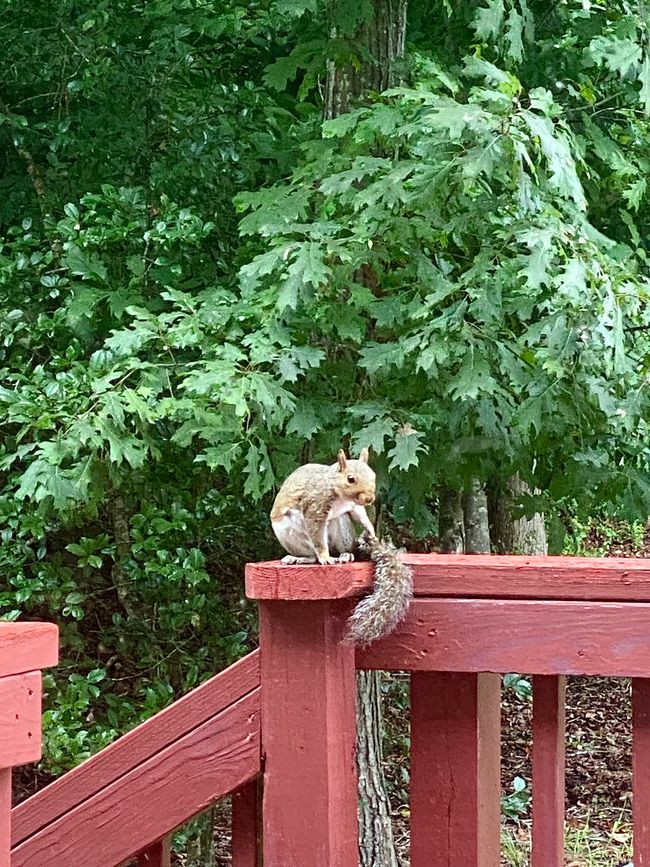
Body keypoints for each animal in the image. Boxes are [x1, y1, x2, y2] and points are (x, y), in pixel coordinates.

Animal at [270, 448, 412, 644]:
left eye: (373, 475)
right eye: (350, 479)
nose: (370, 498)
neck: (340, 495)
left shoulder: (353, 507)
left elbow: (361, 516)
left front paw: (371, 532)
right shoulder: (315, 508)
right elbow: (317, 537)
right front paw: (325, 558)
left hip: (340, 525)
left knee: (340, 546)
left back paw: (345, 555)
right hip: (289, 533)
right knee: (312, 553)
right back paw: (301, 558)